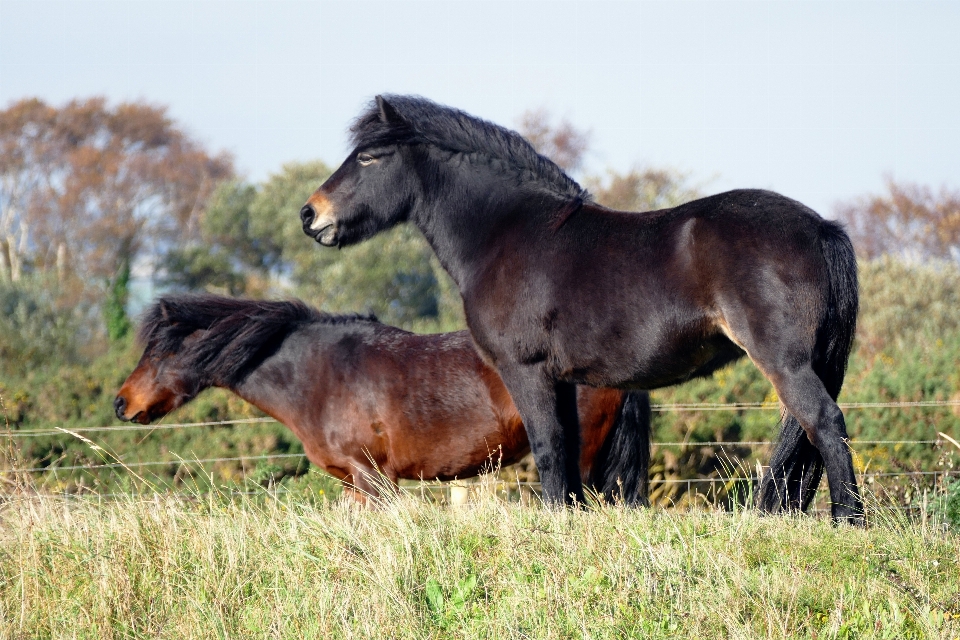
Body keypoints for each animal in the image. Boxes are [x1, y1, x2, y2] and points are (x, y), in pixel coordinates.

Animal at [300, 96, 864, 524]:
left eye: (370, 156)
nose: (310, 214)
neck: (507, 234)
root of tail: (820, 227)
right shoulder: (566, 379)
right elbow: (568, 456)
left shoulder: (526, 370)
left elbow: (549, 448)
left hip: (784, 362)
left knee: (825, 422)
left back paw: (850, 521)